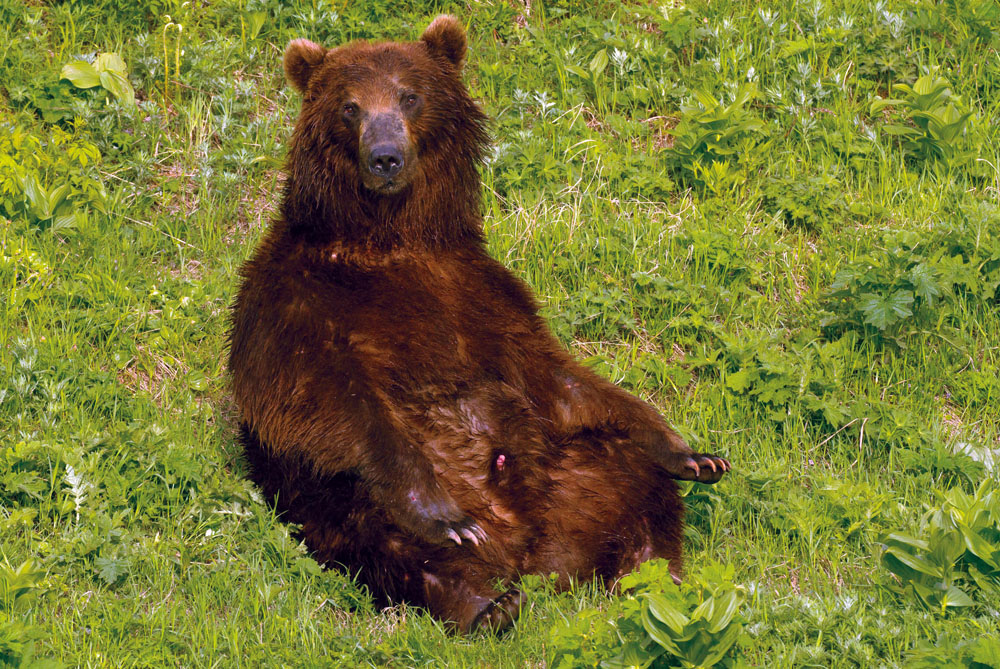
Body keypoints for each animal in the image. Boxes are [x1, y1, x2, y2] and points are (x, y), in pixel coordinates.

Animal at [230, 14, 732, 632]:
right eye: (349, 107)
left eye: (410, 95)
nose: (385, 156)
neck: (387, 239)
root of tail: (529, 556)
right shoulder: (291, 303)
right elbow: (325, 402)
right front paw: (443, 515)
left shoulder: (478, 294)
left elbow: (558, 379)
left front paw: (693, 454)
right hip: (318, 496)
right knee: (376, 535)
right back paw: (486, 601)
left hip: (571, 475)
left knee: (635, 482)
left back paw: (654, 576)